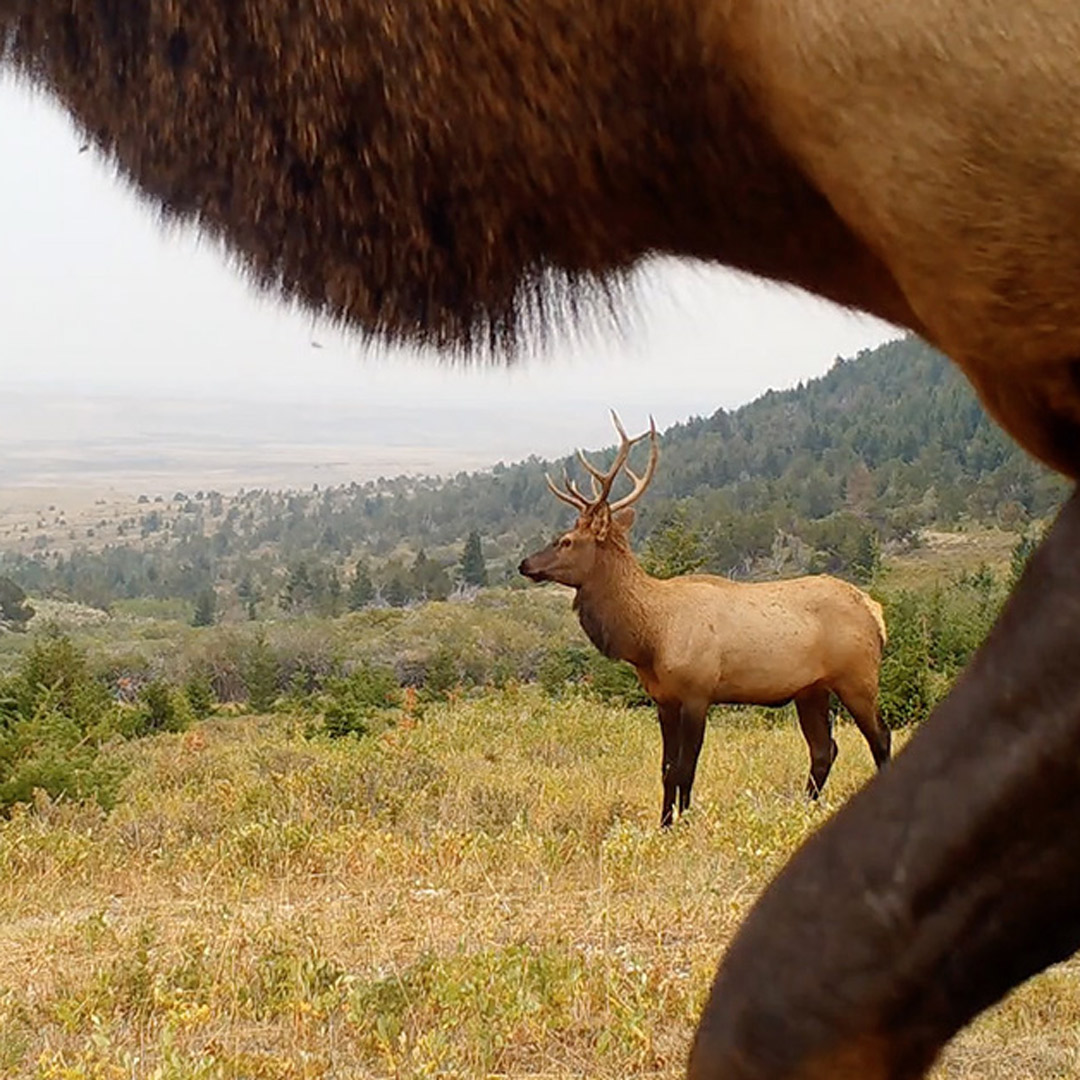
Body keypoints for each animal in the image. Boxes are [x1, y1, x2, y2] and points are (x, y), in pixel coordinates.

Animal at [520, 412, 890, 827]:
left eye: (566, 540)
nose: (525, 564)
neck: (650, 637)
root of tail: (874, 611)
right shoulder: (663, 698)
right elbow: (666, 768)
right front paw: (664, 824)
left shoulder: (698, 691)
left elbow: (687, 768)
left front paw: (683, 821)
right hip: (811, 689)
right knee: (824, 749)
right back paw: (803, 808)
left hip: (857, 677)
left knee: (880, 736)